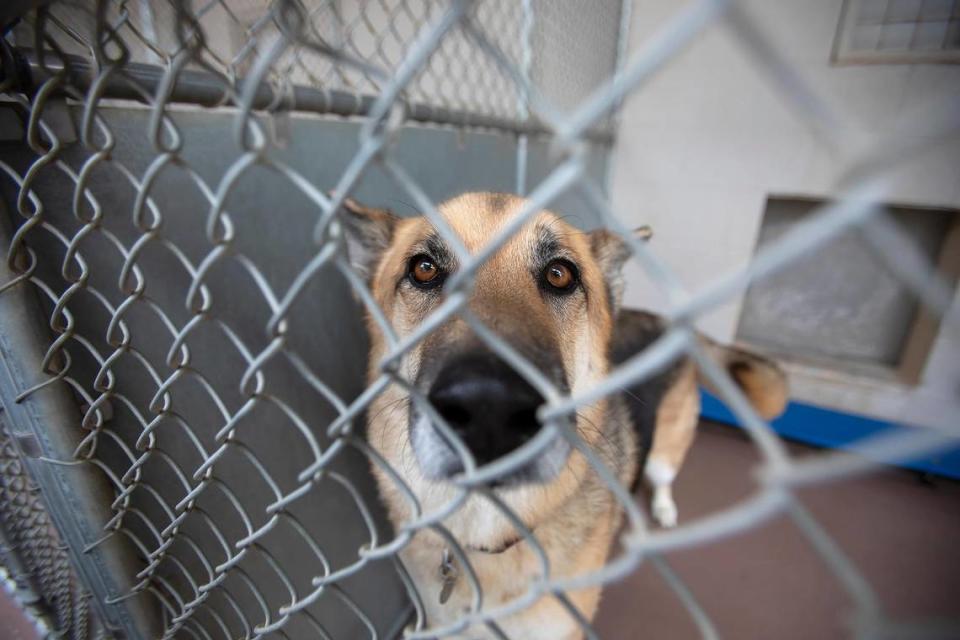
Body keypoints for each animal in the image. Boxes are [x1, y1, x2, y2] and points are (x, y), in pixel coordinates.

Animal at [340, 192, 788, 636]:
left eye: (559, 274)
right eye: (424, 269)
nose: (489, 409)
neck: (486, 538)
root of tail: (666, 322)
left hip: (668, 445)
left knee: (662, 474)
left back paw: (662, 508)